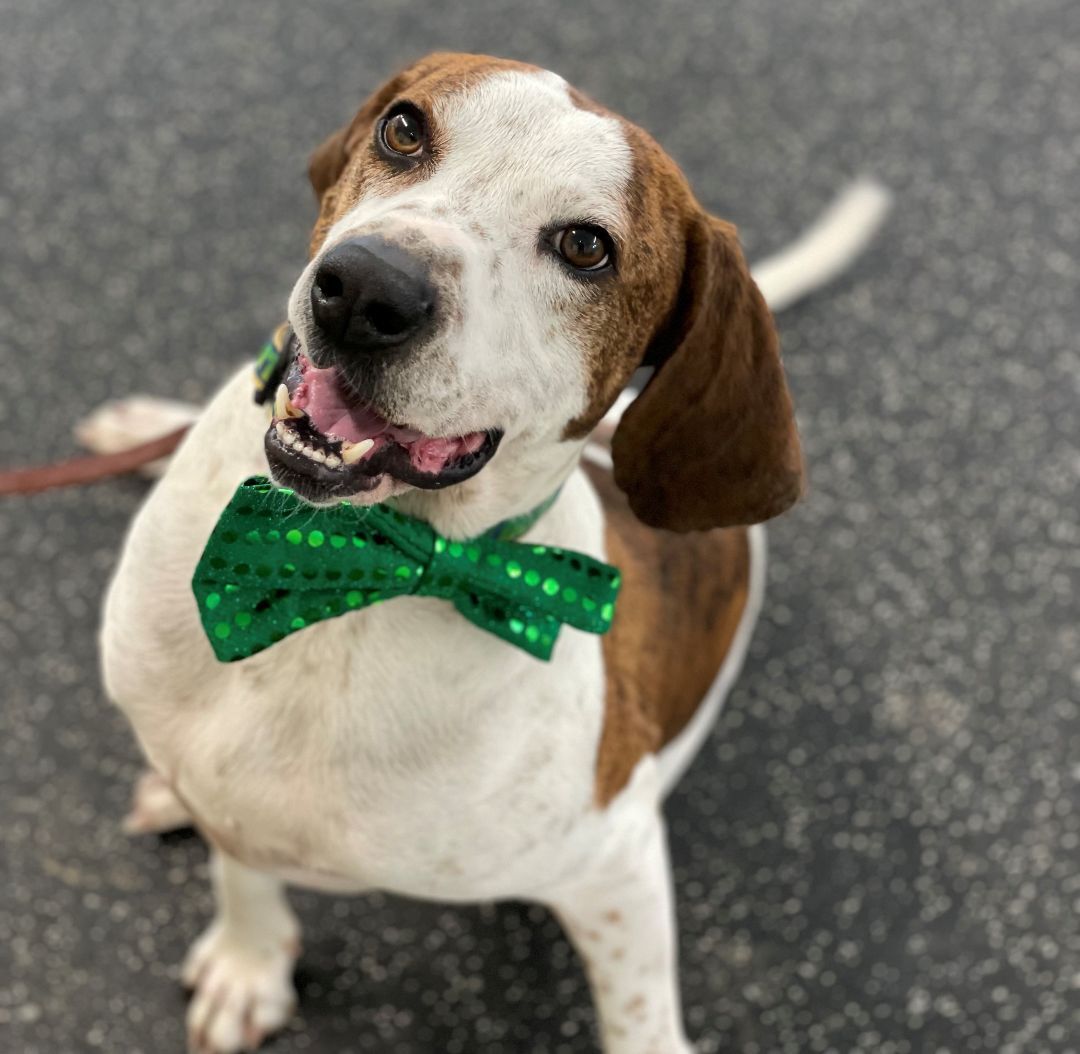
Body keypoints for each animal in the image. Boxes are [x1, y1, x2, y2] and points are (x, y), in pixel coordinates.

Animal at [95, 51, 885, 1054]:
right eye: (403, 128)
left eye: (586, 247)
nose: (365, 288)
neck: (354, 576)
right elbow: (239, 858)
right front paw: (249, 958)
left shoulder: (616, 861)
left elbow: (640, 1016)